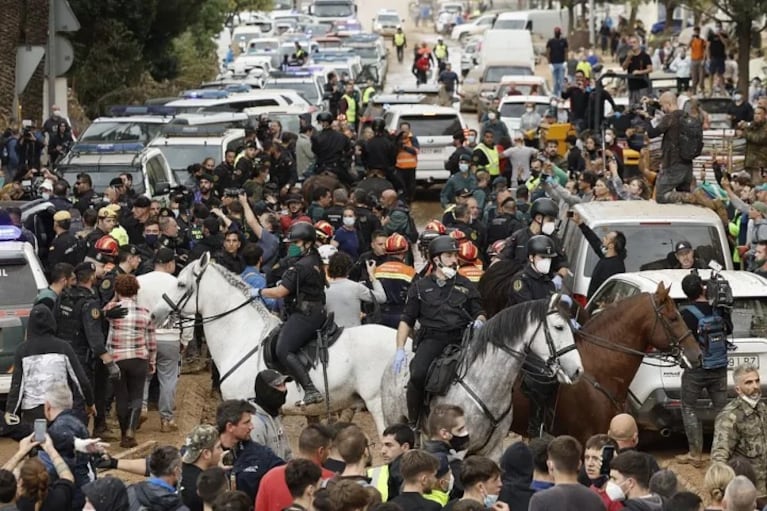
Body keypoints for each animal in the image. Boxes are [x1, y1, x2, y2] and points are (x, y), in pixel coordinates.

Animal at [380, 296, 584, 460]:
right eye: (559, 327)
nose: (577, 370)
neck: (484, 385)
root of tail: (394, 361)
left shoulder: (493, 451)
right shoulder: (458, 451)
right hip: (396, 422)